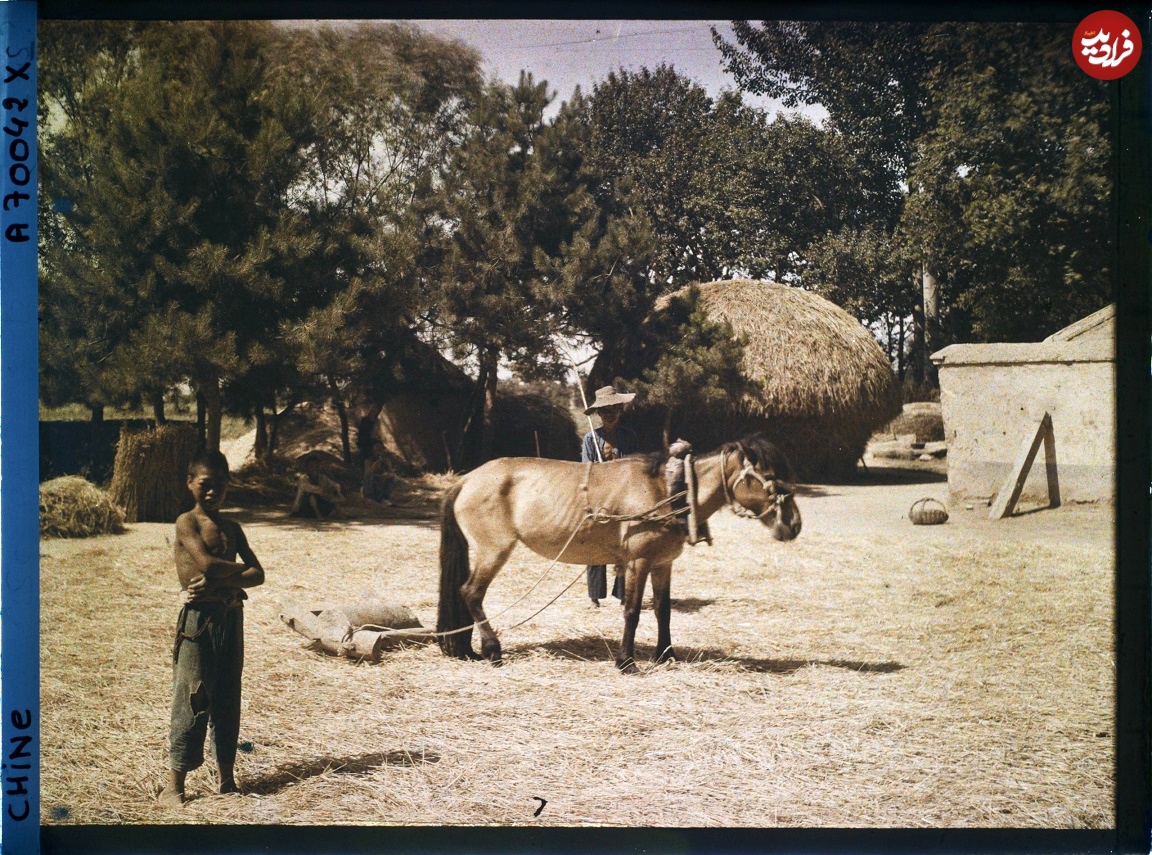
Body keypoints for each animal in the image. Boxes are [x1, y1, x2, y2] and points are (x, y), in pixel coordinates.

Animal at [433, 437, 801, 672]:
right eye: (769, 477)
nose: (794, 525)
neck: (667, 490)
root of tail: (467, 479)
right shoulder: (638, 562)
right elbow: (632, 612)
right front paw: (626, 661)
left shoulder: (662, 564)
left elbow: (663, 611)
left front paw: (666, 654)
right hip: (494, 549)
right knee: (471, 593)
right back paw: (493, 650)